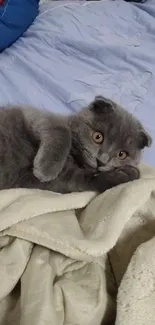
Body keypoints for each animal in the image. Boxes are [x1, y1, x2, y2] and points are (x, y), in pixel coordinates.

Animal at [0, 95, 151, 192]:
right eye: (97, 137)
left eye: (122, 154)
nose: (101, 161)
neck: (74, 157)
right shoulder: (36, 115)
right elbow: (61, 130)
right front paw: (46, 169)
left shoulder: (65, 180)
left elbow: (83, 181)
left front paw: (128, 175)